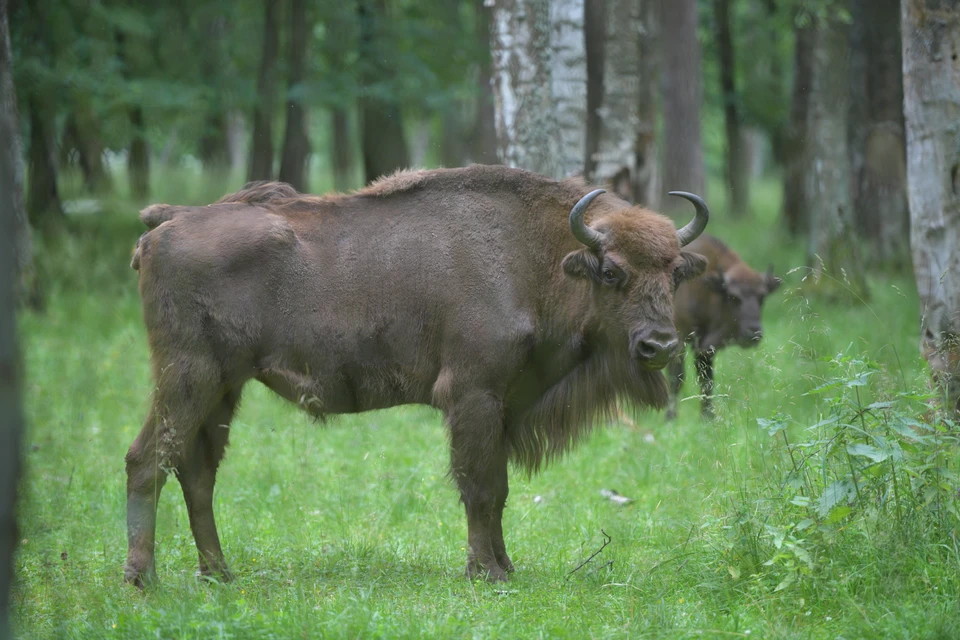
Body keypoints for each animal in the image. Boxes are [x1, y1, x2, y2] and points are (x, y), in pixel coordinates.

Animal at [124, 164, 708, 584]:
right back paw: (143, 579)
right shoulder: (474, 396)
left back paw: (218, 574)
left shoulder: (504, 405)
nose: (659, 345)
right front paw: (486, 574)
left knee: (197, 472)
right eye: (611, 271)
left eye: (675, 272)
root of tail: (166, 225)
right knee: (147, 460)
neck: (535, 256)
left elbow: (498, 490)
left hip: (223, 389)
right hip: (188, 377)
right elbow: (479, 487)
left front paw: (506, 567)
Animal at [668, 235, 780, 420]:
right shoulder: (679, 339)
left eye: (762, 297)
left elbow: (706, 381)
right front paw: (670, 418)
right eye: (733, 297)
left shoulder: (704, 349)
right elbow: (676, 379)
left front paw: (707, 417)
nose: (753, 332)